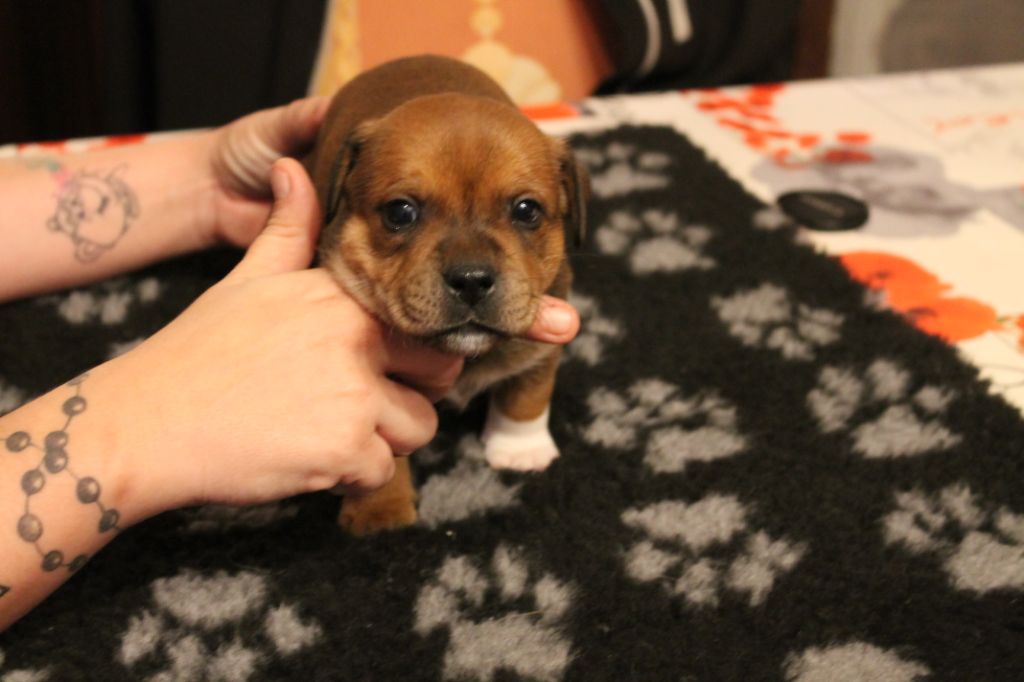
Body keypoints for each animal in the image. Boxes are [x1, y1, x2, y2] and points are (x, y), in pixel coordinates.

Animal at [304, 55, 587, 535]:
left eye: (526, 210)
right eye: (400, 212)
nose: (471, 279)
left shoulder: (543, 333)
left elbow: (528, 391)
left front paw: (520, 449)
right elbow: (384, 449)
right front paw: (380, 510)